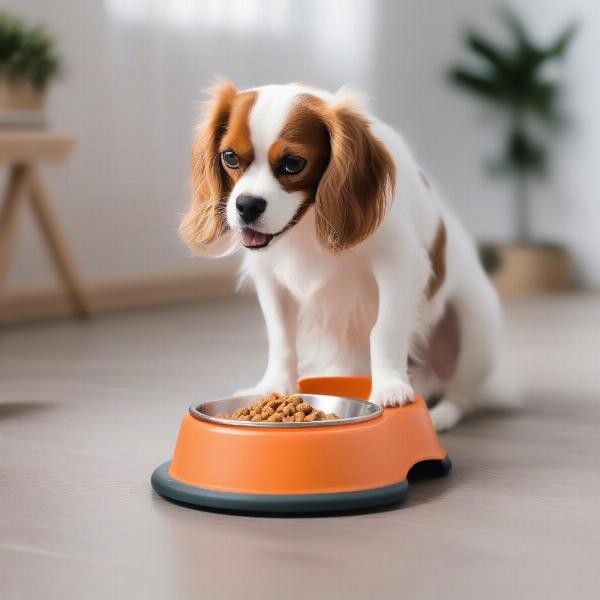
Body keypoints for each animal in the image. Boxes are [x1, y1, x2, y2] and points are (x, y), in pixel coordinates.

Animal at [180, 82, 504, 434]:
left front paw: (390, 387)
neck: (307, 223)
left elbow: (385, 328)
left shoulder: (400, 263)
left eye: (293, 164)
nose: (247, 205)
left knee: (462, 393)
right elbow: (280, 336)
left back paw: (441, 414)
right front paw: (275, 385)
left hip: (474, 326)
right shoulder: (269, 277)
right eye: (229, 157)